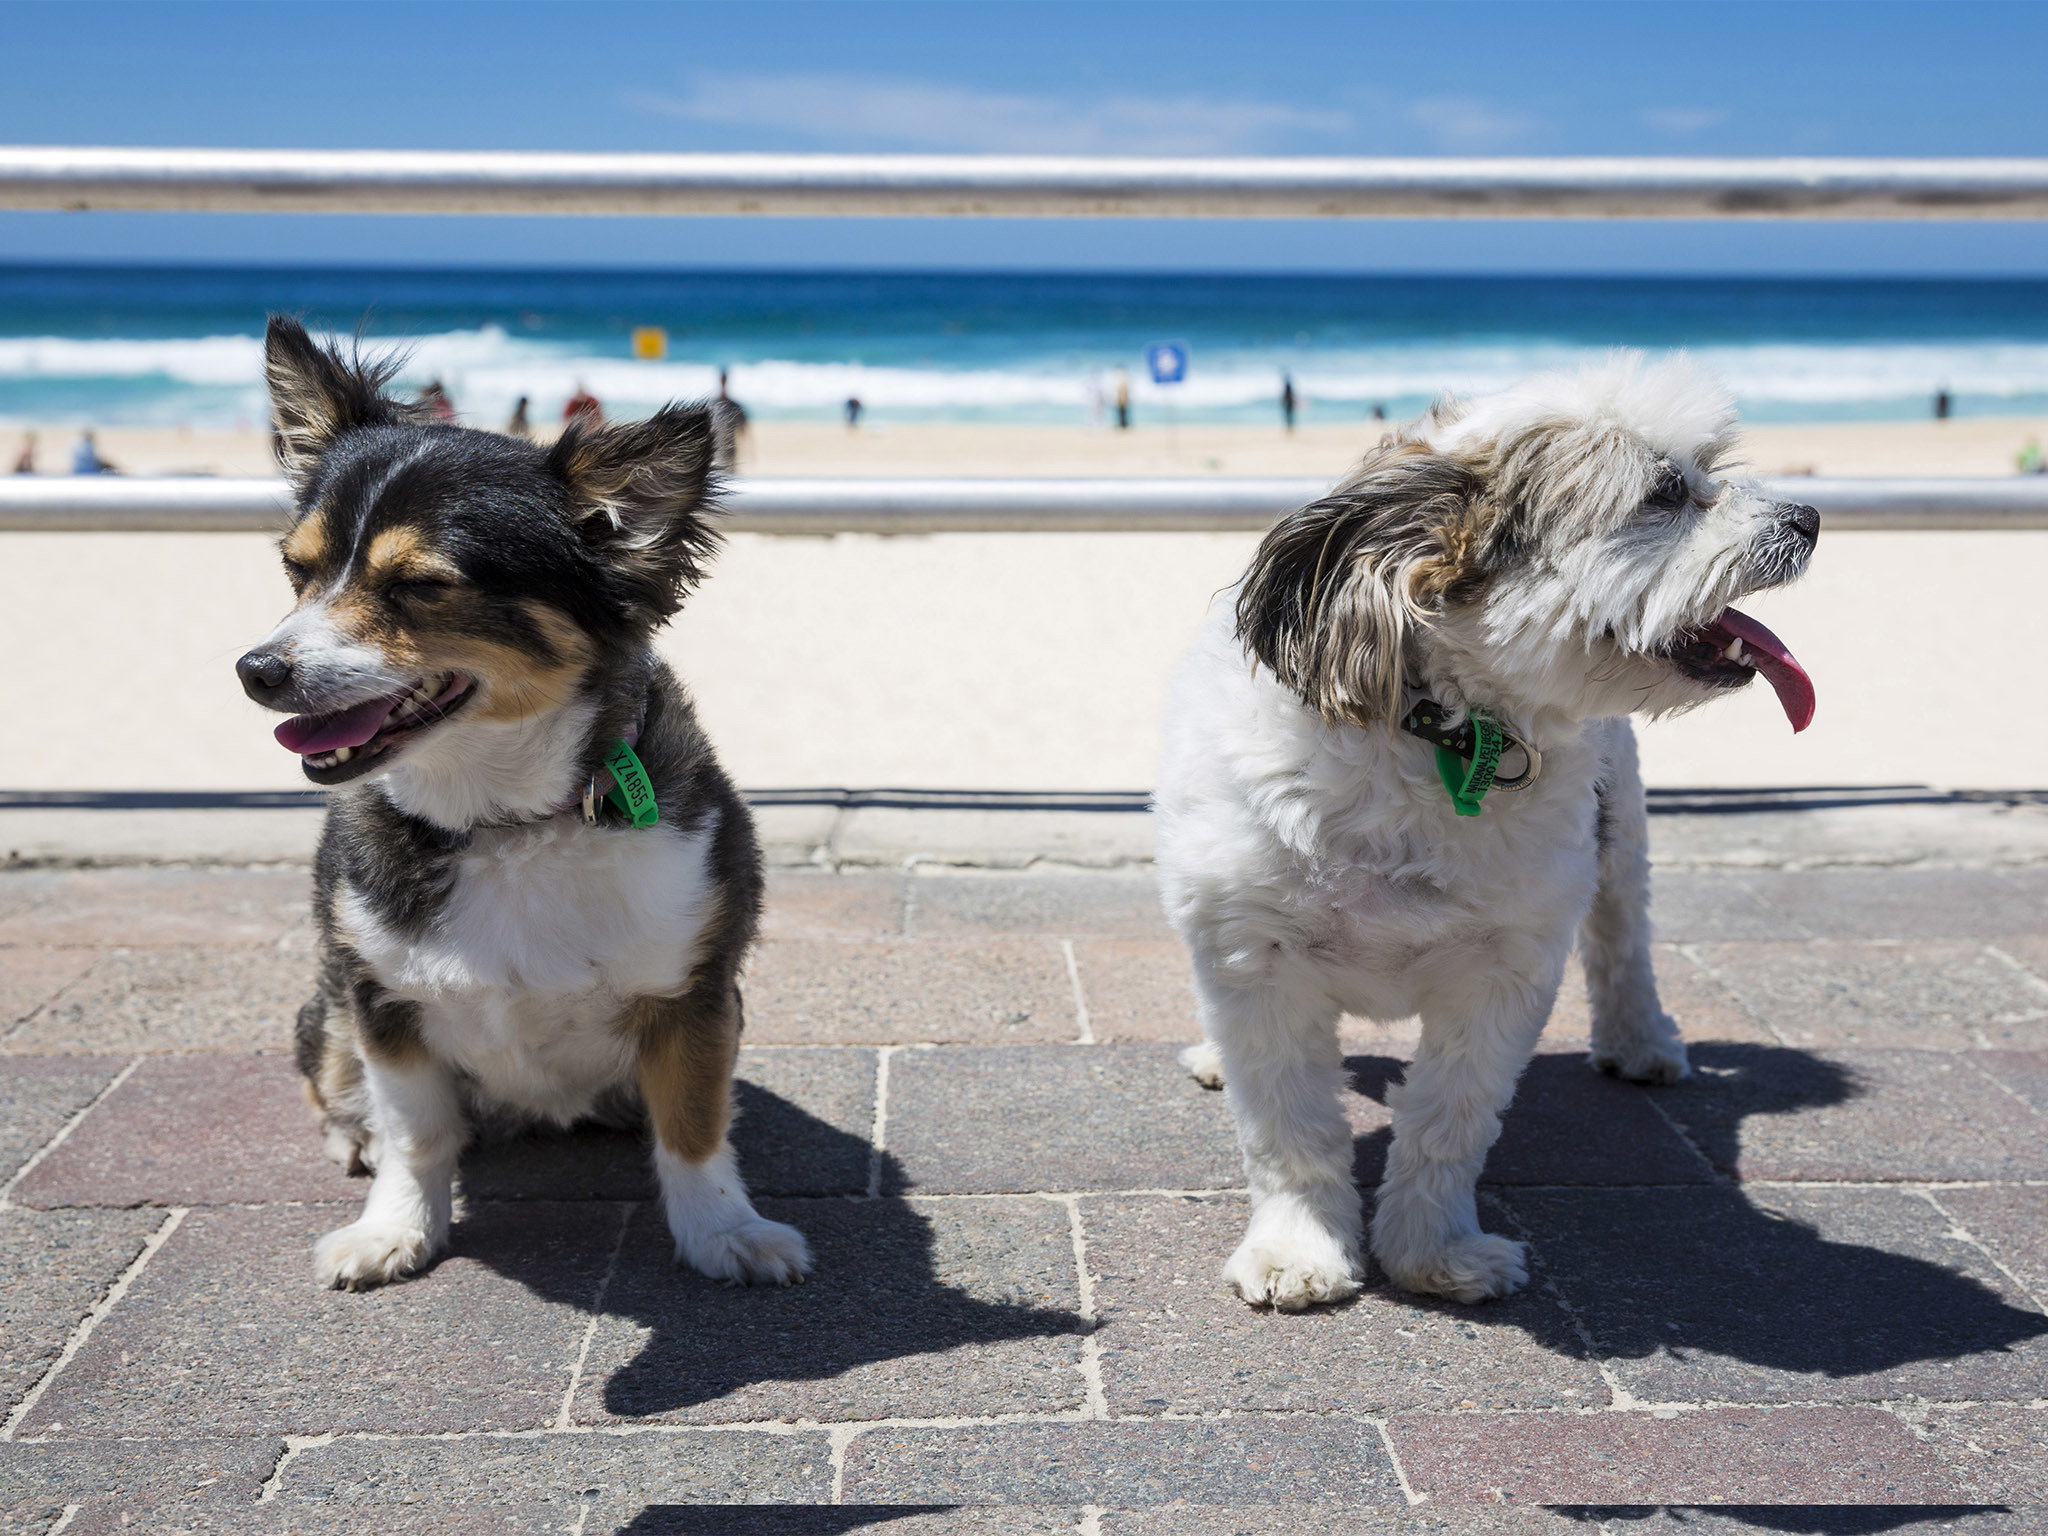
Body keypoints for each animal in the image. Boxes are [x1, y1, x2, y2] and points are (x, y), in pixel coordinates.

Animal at [239, 319, 806, 1294]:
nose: (256, 670)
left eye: (422, 585)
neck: (506, 823)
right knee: (338, 1085)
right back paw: (351, 1137)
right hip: (326, 1011)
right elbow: (416, 1132)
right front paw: (396, 1229)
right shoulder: (381, 1000)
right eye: (296, 570)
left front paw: (724, 1232)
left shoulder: (695, 997)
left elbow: (695, 1128)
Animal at [1163, 358, 1818, 1310]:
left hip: (1619, 838)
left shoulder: (1503, 973)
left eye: (1706, 470)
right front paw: (1298, 1248)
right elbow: (1288, 1124)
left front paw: (1434, 1250)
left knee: (1623, 945)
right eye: (1665, 492)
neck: (1441, 732)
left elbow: (1449, 1121)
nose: (1807, 517)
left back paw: (1641, 1042)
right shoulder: (1258, 959)